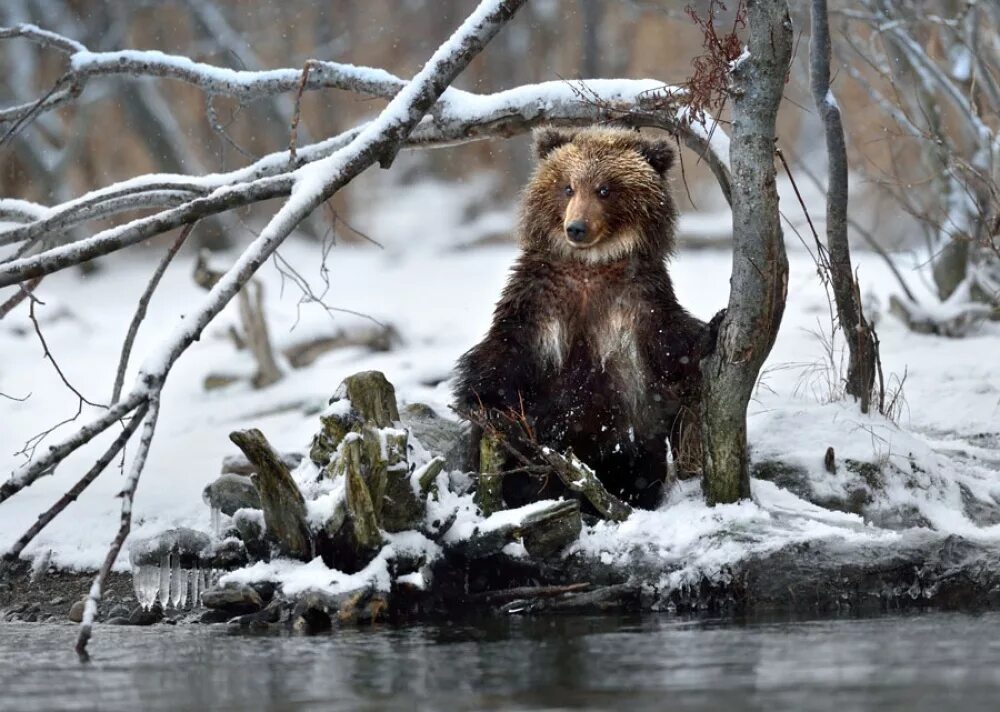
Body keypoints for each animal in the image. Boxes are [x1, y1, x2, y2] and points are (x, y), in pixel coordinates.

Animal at [454, 125, 720, 508]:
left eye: (604, 188)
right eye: (567, 186)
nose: (576, 227)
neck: (589, 266)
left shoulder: (637, 298)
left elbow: (669, 342)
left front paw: (713, 326)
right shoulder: (538, 298)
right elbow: (504, 350)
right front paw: (486, 406)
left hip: (629, 437)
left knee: (638, 465)